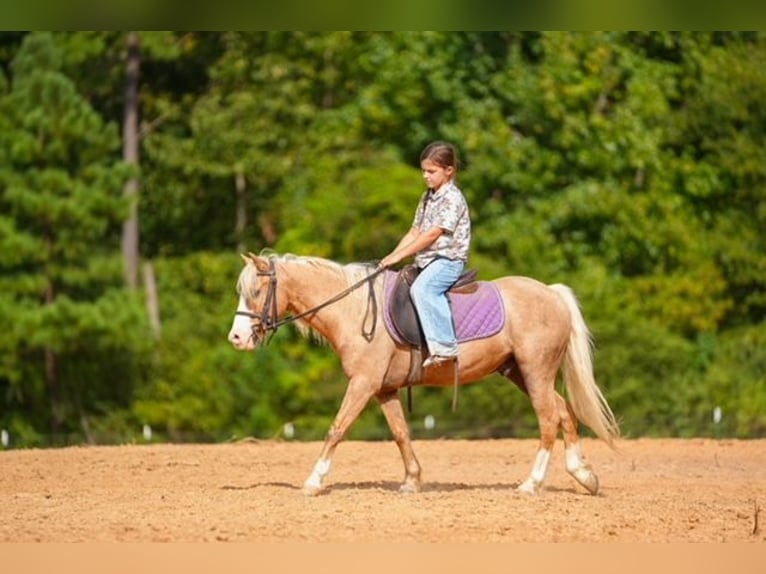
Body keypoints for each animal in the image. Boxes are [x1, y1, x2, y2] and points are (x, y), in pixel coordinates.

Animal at [228, 252, 619, 496]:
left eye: (256, 291)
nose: (236, 338)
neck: (353, 310)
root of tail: (551, 293)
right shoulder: (383, 389)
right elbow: (401, 433)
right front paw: (412, 481)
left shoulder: (363, 383)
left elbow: (337, 428)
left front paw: (313, 481)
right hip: (520, 372)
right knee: (564, 412)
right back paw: (584, 475)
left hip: (535, 371)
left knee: (549, 419)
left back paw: (532, 483)